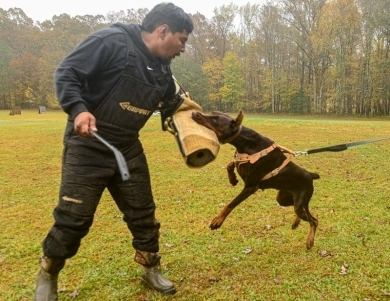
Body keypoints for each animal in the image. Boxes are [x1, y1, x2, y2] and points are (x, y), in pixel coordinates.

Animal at [191, 109, 320, 248]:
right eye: (213, 112)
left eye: (215, 119)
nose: (194, 113)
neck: (246, 143)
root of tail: (310, 175)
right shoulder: (240, 161)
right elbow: (230, 164)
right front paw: (233, 179)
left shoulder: (251, 186)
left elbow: (231, 203)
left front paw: (217, 221)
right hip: (284, 199)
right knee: (301, 211)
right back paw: (296, 223)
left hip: (300, 200)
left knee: (313, 220)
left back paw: (309, 241)